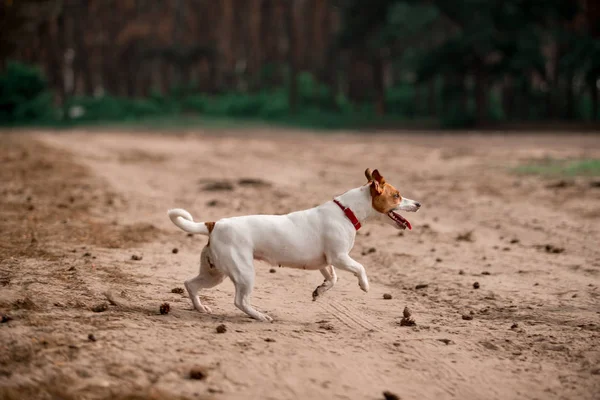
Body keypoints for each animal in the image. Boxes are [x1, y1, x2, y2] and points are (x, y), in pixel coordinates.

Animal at [168, 168, 422, 322]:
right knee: (240, 301)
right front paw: (365, 286)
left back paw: (200, 308)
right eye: (397, 195)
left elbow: (332, 279)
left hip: (214, 272)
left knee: (191, 284)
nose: (419, 204)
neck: (346, 211)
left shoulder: (326, 262)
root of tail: (214, 224)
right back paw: (260, 316)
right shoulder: (339, 257)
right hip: (243, 272)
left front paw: (319, 291)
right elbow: (360, 268)